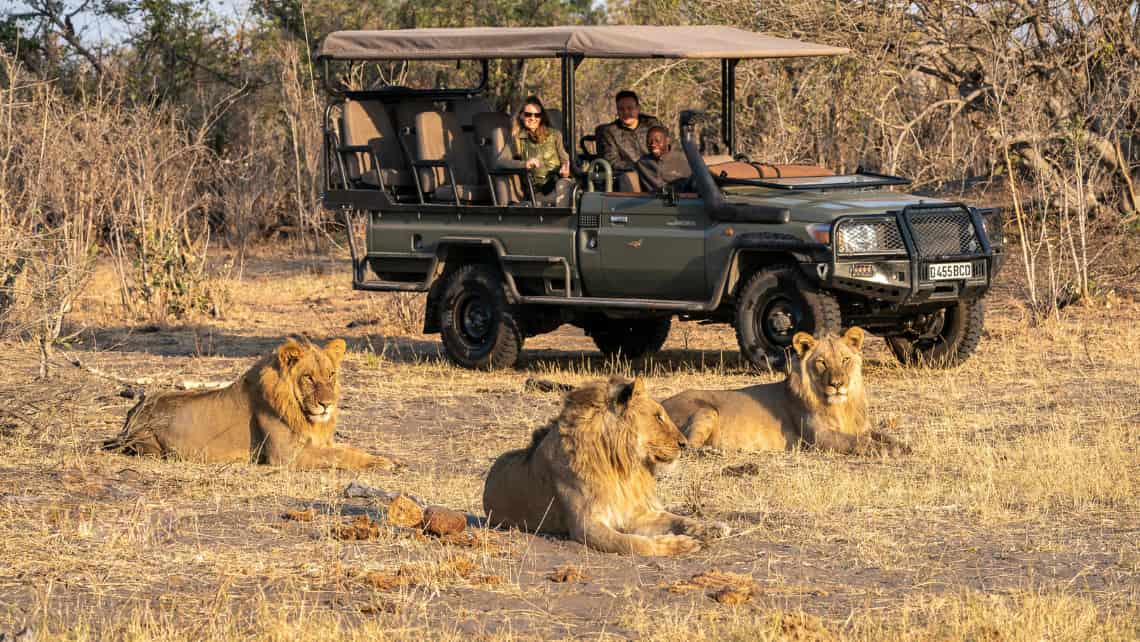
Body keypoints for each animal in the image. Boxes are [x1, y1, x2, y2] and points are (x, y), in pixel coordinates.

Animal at [104, 337, 396, 472]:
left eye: (331, 375)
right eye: (309, 377)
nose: (327, 404)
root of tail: (134, 410)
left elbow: (346, 449)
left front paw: (383, 457)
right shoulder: (285, 456)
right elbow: (339, 455)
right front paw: (383, 463)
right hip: (150, 446)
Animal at [481, 376, 729, 558]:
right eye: (658, 416)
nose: (684, 444)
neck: (622, 467)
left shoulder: (635, 512)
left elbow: (678, 519)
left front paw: (713, 528)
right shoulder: (586, 526)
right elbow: (632, 544)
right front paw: (680, 545)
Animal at [661, 328, 907, 453]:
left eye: (845, 360)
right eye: (822, 362)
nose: (837, 384)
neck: (842, 406)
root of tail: (659, 404)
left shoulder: (864, 428)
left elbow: (885, 436)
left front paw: (903, 446)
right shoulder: (819, 438)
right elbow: (858, 442)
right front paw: (886, 450)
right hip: (706, 411)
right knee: (687, 447)